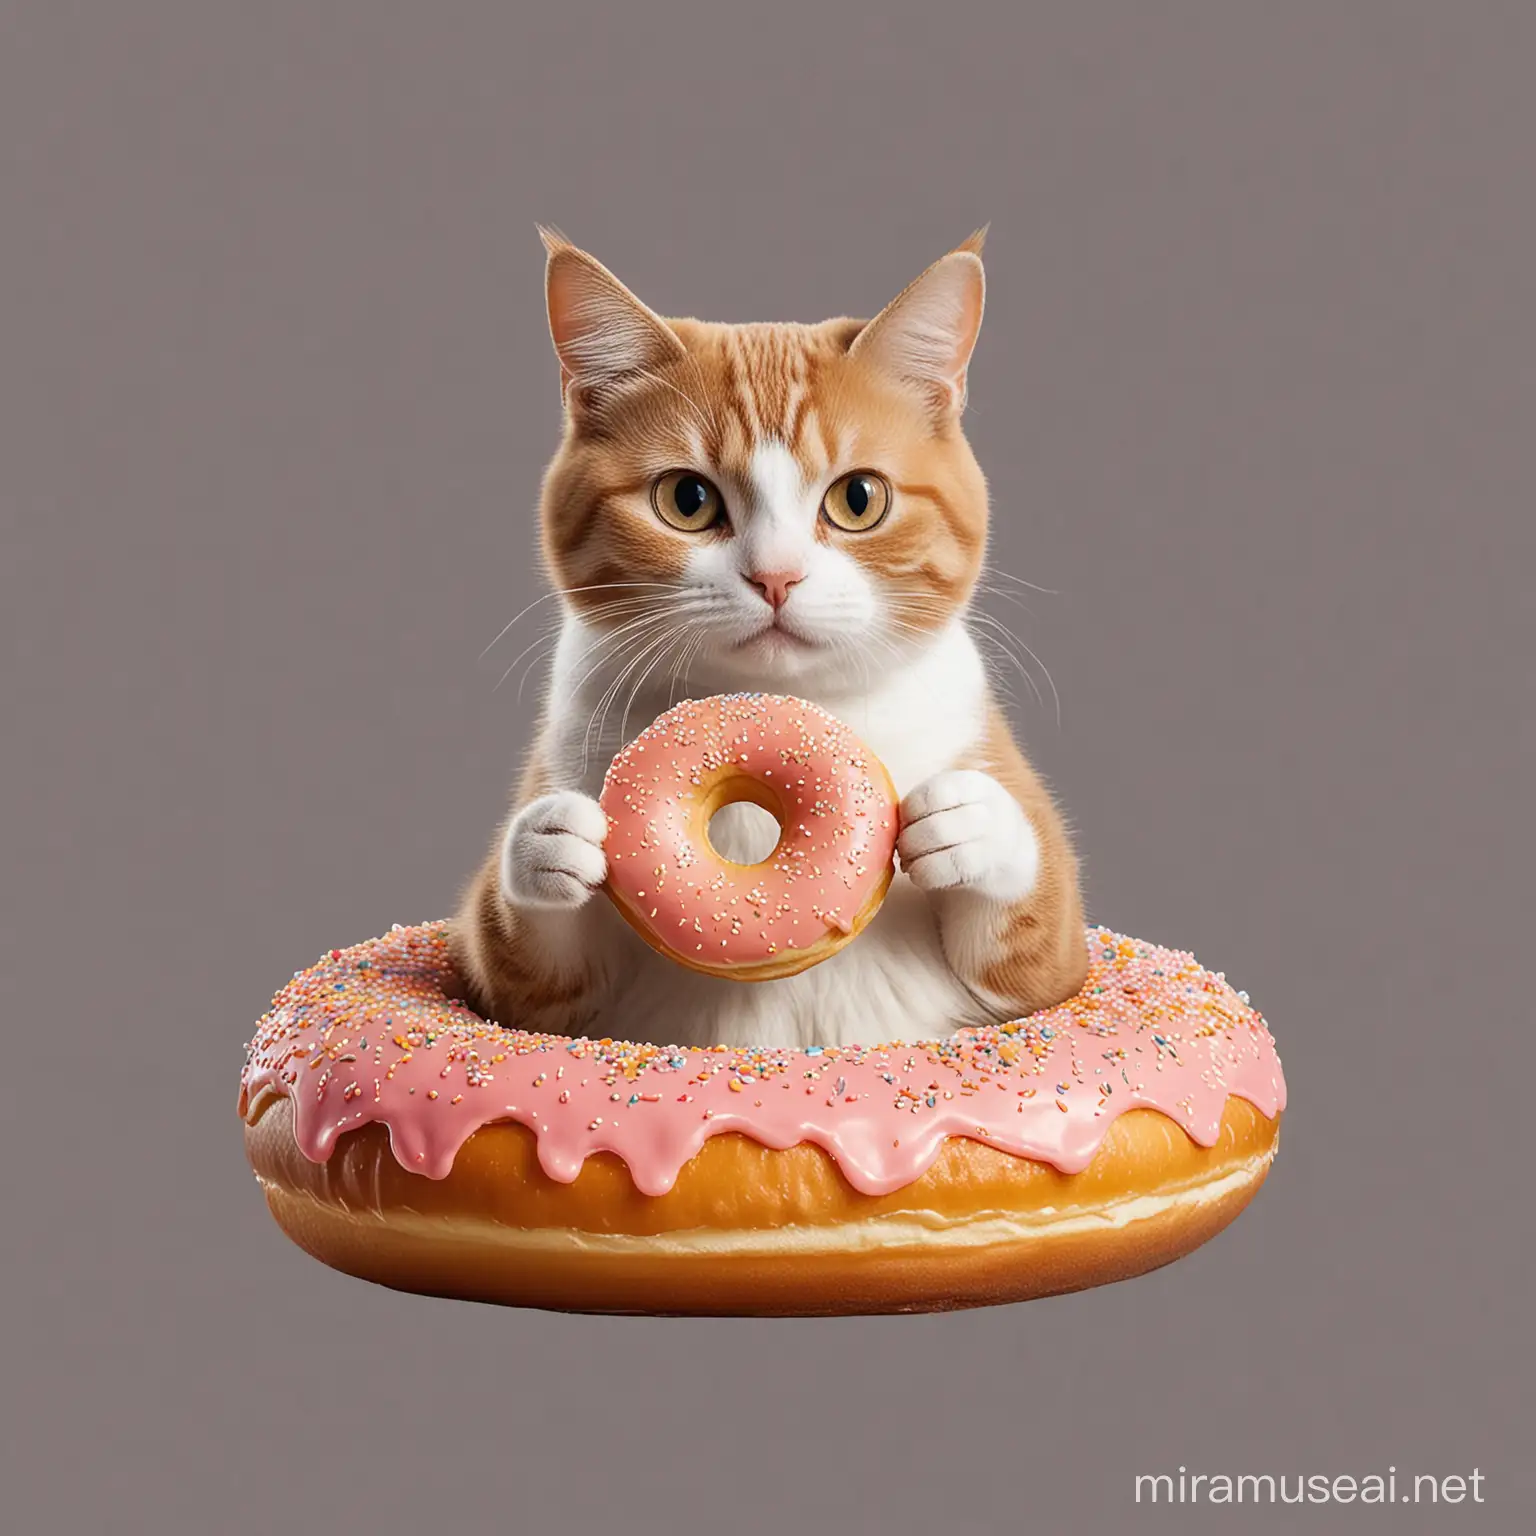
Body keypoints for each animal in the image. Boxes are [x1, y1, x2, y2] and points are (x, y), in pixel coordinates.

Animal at [448, 227, 1087, 1050]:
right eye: (687, 499)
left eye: (859, 499)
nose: (776, 577)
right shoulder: (511, 990)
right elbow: (513, 957)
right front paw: (546, 840)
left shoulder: (1055, 971)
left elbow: (1041, 944)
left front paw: (969, 823)